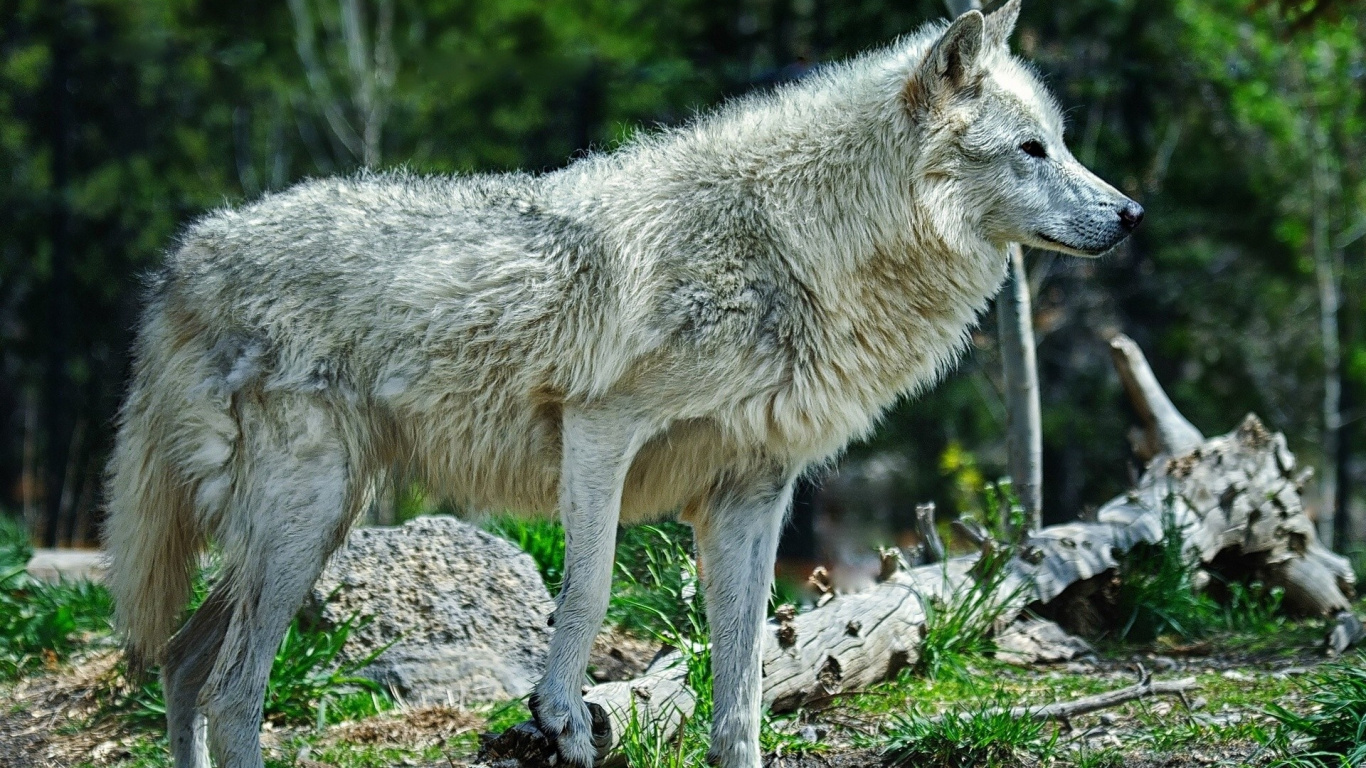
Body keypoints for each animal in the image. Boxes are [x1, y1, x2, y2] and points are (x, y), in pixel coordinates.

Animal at [104, 2, 1140, 766]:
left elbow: (745, 682)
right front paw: (560, 713)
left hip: (312, 528)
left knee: (184, 667)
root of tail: (185, 258)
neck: (794, 243)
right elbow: (591, 588)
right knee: (233, 694)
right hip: (306, 520)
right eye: (1033, 150)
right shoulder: (601, 429)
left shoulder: (753, 497)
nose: (1132, 213)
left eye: (1062, 142)